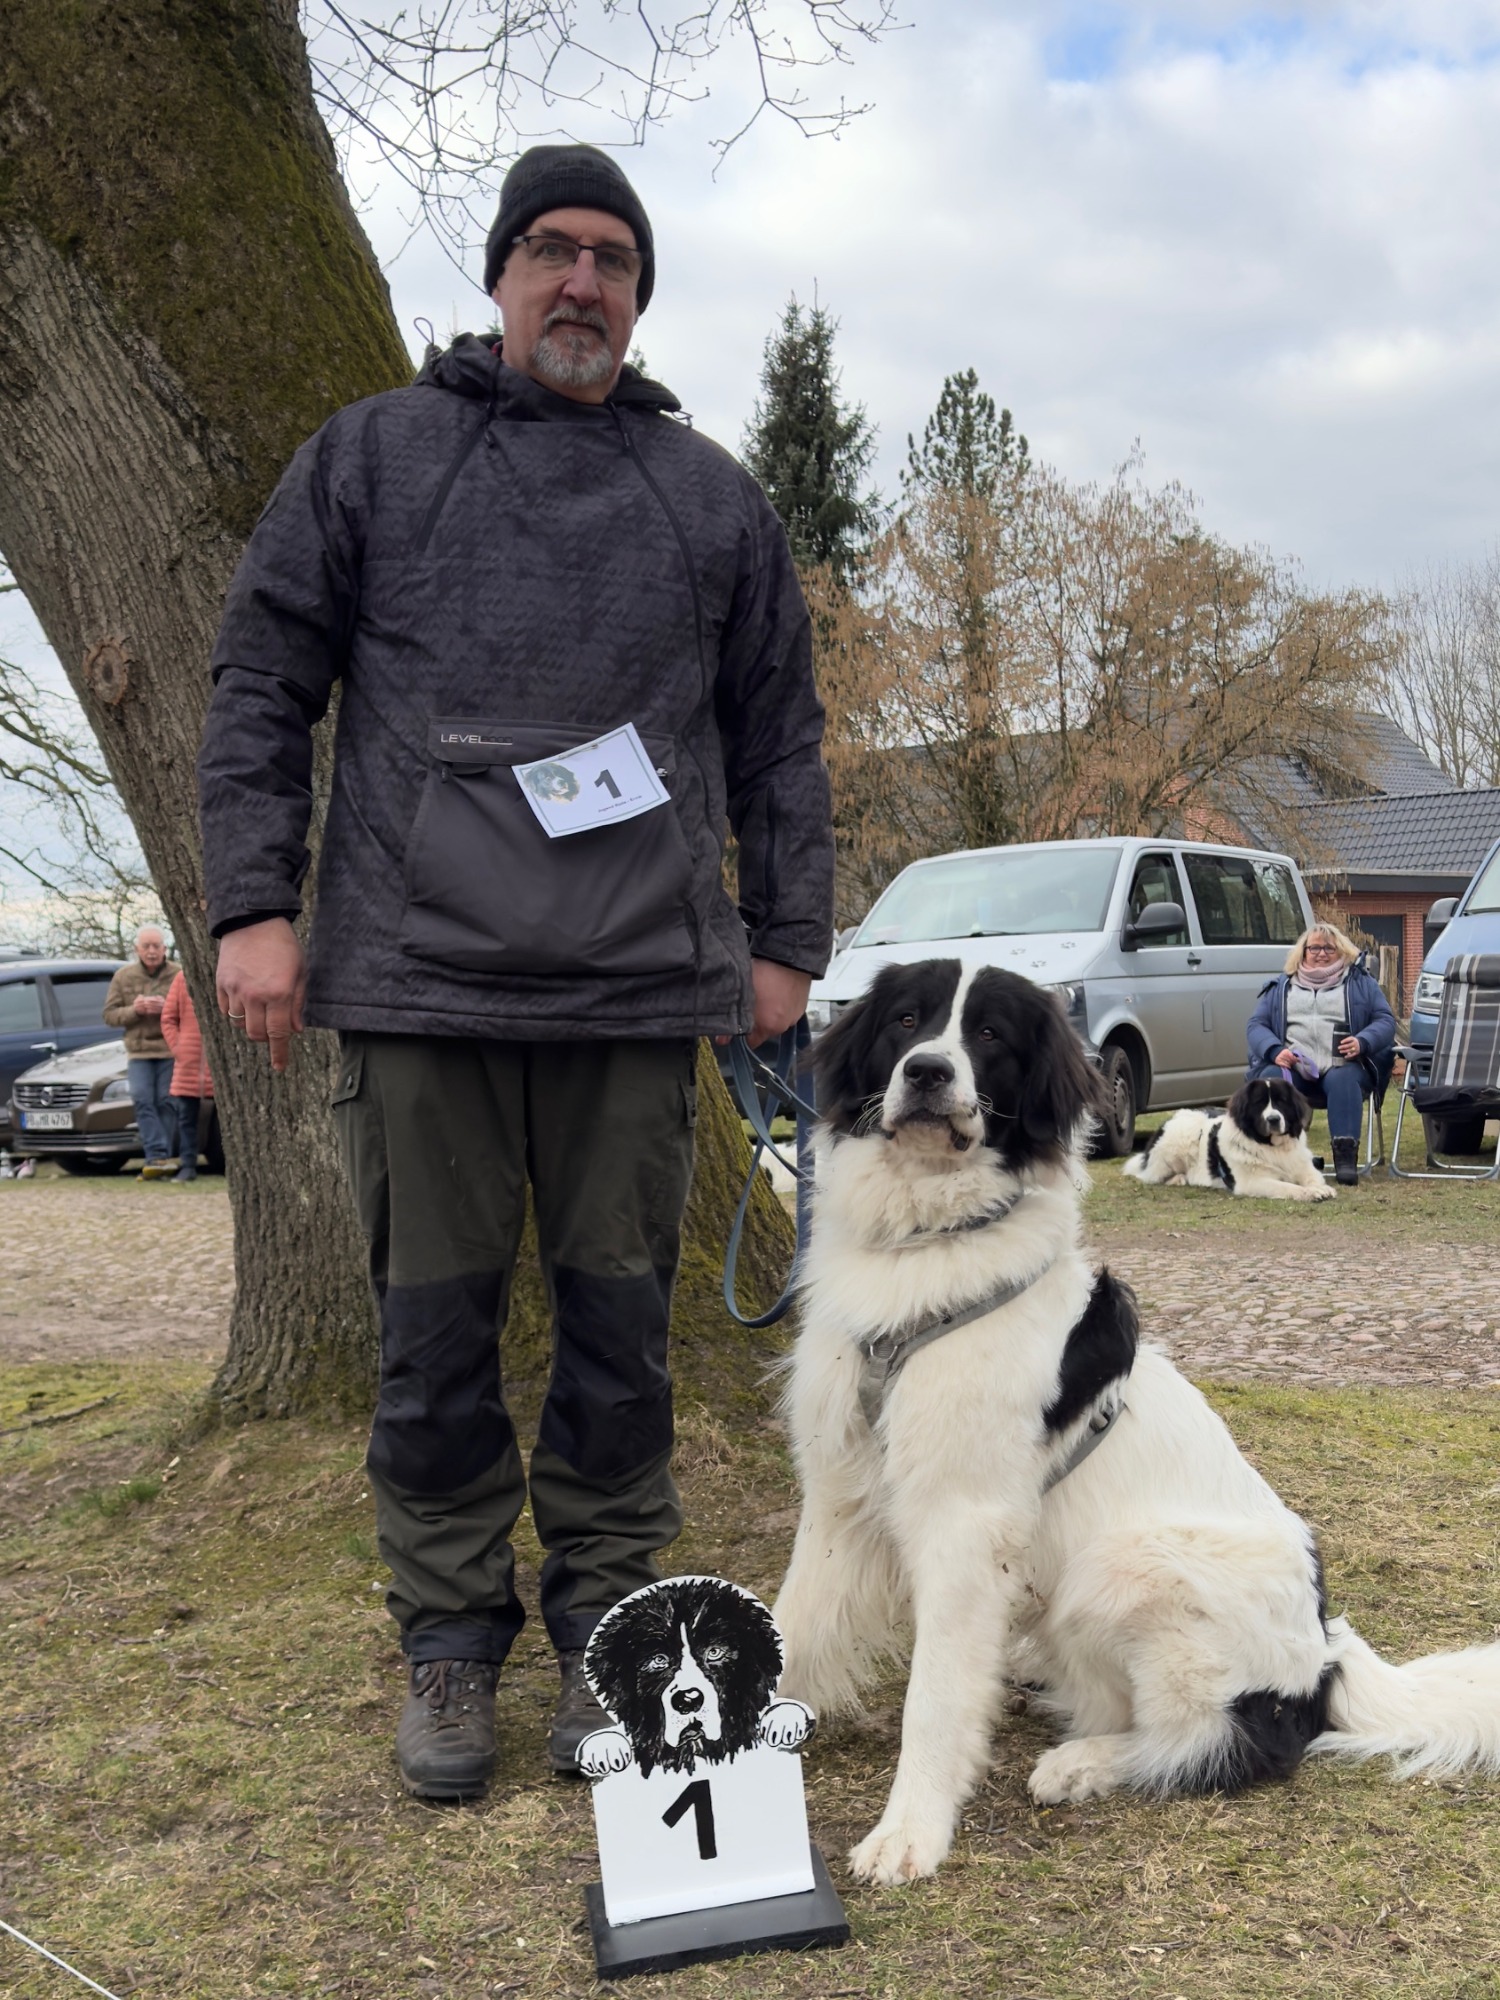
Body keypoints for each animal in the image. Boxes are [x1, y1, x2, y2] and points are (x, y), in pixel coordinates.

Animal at [1123, 1074, 1334, 1201]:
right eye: (1259, 1103)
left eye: (1282, 1101)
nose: (1274, 1119)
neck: (1272, 1147)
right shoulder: (1253, 1182)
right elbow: (1287, 1187)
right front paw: (1310, 1192)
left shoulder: (1303, 1167)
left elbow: (1313, 1178)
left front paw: (1320, 1188)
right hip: (1181, 1139)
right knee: (1152, 1176)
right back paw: (1179, 1178)